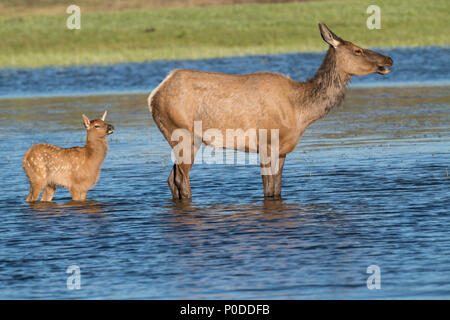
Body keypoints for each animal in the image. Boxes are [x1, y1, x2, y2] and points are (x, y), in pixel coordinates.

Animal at [149, 22, 394, 199]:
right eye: (357, 50)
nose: (389, 58)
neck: (301, 111)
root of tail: (154, 95)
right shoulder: (267, 144)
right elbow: (268, 190)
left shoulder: (283, 149)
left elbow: (276, 190)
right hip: (183, 132)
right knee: (181, 180)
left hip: (187, 138)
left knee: (171, 179)